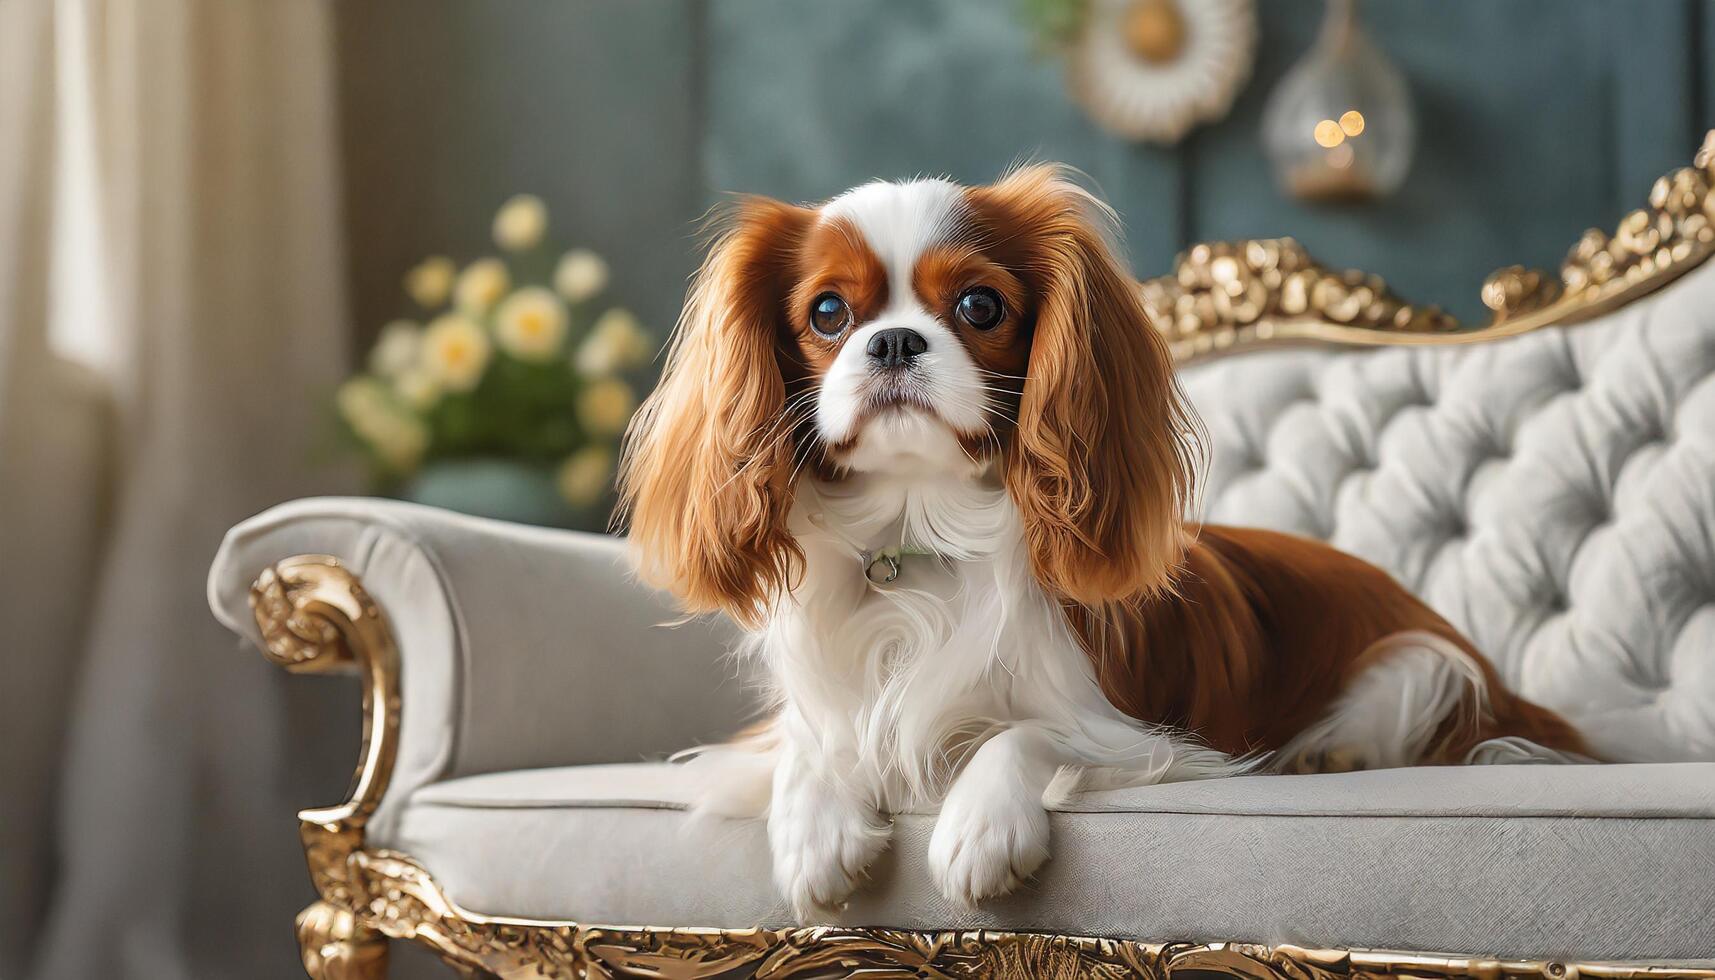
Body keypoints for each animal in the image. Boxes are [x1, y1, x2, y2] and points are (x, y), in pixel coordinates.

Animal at [613, 166, 1577, 919]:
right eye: (825, 313)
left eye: (978, 305)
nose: (891, 341)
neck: (916, 532)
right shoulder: (807, 711)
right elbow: (806, 746)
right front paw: (814, 836)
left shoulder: (1149, 737)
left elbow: (1029, 734)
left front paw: (980, 826)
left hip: (1423, 659)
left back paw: (1333, 751)